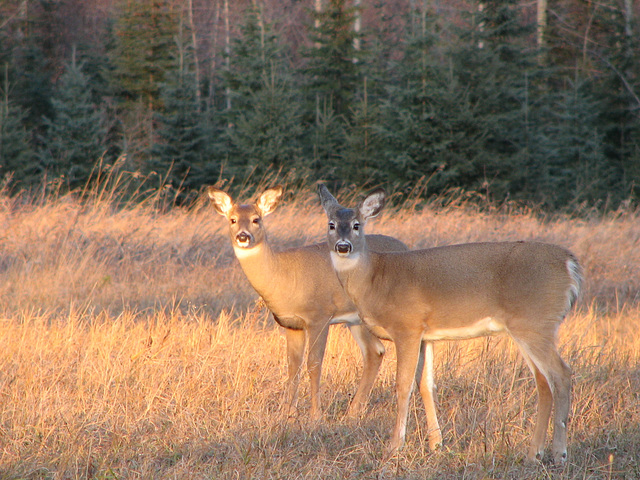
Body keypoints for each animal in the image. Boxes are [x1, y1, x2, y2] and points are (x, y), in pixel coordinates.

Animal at [209, 186, 410, 422]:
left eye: (256, 219)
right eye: (232, 219)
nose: (243, 236)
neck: (283, 275)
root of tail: (404, 246)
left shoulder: (319, 316)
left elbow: (314, 364)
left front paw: (315, 416)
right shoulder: (291, 324)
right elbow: (292, 366)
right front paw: (287, 414)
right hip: (357, 320)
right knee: (374, 351)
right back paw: (353, 412)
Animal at [318, 182, 584, 464]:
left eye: (357, 225)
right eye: (331, 224)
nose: (343, 246)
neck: (375, 280)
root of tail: (570, 264)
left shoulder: (407, 327)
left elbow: (403, 385)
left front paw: (394, 446)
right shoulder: (426, 335)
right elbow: (426, 385)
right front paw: (436, 444)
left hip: (536, 322)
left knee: (561, 374)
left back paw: (560, 453)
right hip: (527, 327)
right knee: (544, 381)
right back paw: (533, 454)